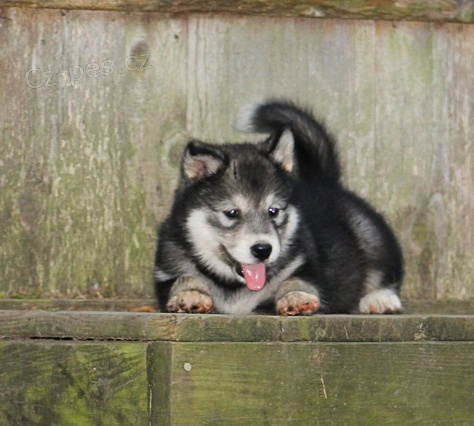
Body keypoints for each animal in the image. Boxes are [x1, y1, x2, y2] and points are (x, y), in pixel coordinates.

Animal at [156, 99, 404, 312]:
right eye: (232, 213)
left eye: (273, 210)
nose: (263, 250)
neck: (236, 286)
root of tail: (323, 180)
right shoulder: (166, 271)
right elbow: (184, 277)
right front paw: (190, 294)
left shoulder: (307, 265)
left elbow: (297, 279)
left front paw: (296, 296)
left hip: (370, 235)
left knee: (383, 274)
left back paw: (379, 299)